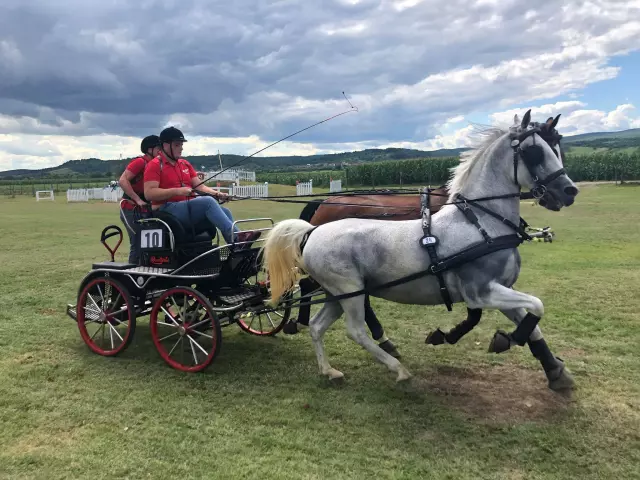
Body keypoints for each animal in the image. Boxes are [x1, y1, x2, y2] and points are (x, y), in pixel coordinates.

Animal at [262, 109, 578, 390]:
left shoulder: (501, 289)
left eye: (557, 147)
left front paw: (555, 371)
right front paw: (507, 339)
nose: (569, 192)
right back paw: (398, 368)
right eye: (534, 151)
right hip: (349, 291)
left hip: (337, 294)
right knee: (356, 331)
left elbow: (533, 322)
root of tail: (312, 230)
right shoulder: (482, 292)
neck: (481, 222)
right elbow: (536, 306)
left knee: (318, 325)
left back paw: (329, 370)